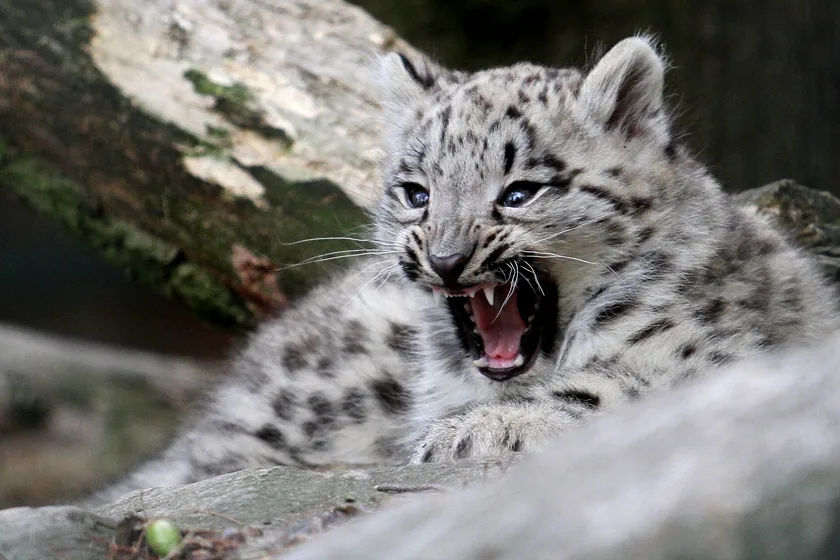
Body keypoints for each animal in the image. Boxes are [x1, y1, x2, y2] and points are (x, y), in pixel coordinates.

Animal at [93, 36, 839, 502]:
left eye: (520, 192)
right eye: (417, 192)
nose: (448, 258)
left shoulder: (727, 356)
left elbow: (621, 381)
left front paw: (473, 431)